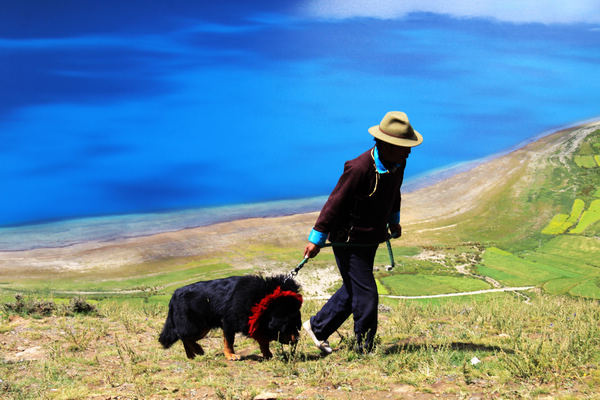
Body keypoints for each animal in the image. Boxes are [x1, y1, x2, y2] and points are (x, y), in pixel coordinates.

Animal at [159, 276, 302, 360]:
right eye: (288, 326)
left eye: (296, 324)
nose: (297, 338)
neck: (263, 300)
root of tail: (174, 295)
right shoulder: (229, 322)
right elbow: (229, 341)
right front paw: (231, 355)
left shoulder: (255, 321)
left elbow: (263, 341)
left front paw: (267, 354)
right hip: (196, 325)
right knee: (184, 336)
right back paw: (197, 350)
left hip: (203, 327)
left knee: (185, 337)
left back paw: (192, 354)